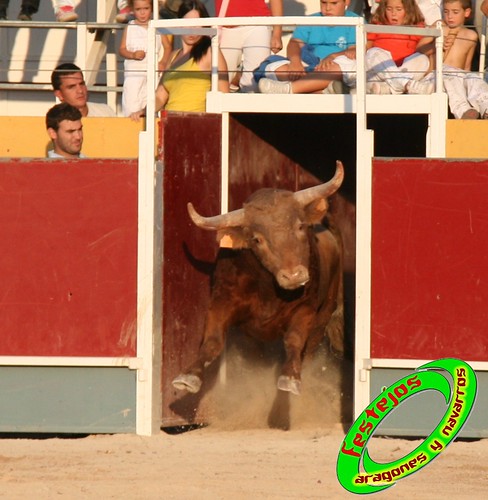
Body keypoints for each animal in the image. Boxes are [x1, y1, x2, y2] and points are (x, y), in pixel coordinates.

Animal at [173, 160, 346, 394]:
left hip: (324, 314)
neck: (268, 290)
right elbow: (212, 341)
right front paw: (189, 376)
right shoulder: (222, 303)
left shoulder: (306, 309)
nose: (294, 275)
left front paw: (290, 377)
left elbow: (293, 340)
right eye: (256, 239)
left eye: (300, 226)